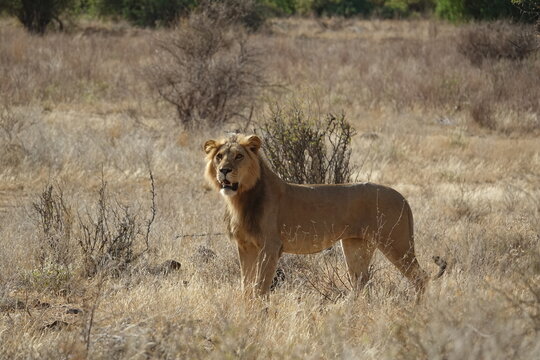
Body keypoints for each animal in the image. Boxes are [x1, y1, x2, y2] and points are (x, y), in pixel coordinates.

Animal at [204, 134, 448, 296]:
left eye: (238, 156)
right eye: (219, 157)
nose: (224, 170)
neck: (241, 199)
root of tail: (402, 197)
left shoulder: (270, 247)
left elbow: (260, 287)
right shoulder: (245, 246)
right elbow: (246, 285)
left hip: (396, 243)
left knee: (420, 278)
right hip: (356, 246)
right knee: (362, 284)